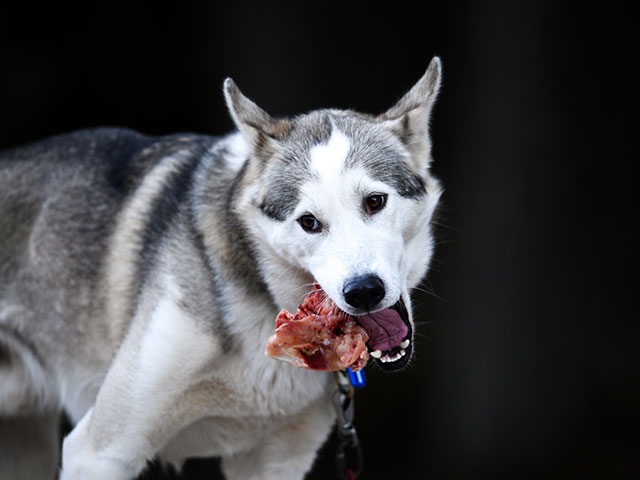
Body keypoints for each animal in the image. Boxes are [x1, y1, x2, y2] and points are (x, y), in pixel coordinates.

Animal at [0, 58, 440, 478]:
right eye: (309, 222)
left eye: (374, 201)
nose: (362, 291)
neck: (264, 301)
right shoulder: (101, 451)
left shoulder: (274, 463)